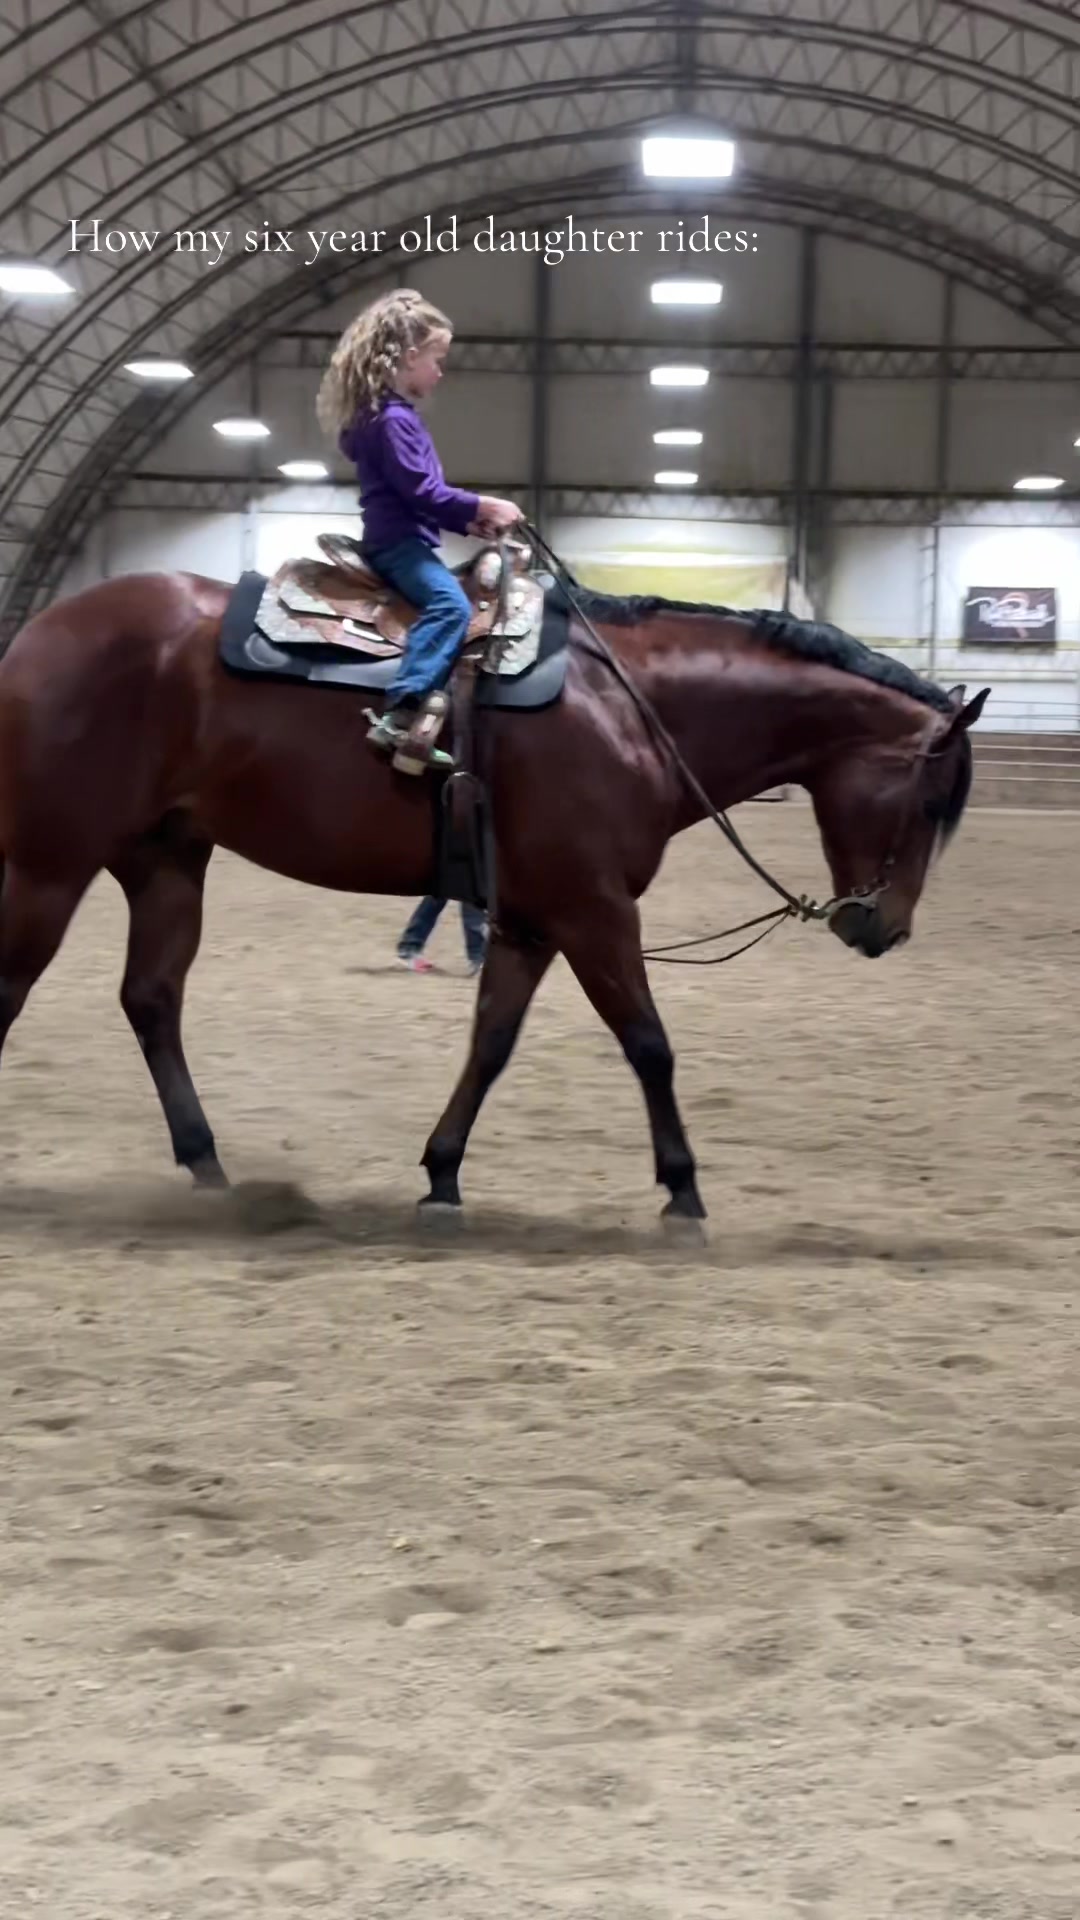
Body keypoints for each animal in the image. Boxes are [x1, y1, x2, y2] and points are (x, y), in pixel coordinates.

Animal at [0, 553, 987, 1226]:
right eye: (930, 800)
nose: (884, 928)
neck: (632, 711)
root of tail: (43, 629)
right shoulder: (594, 912)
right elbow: (649, 1044)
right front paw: (683, 1193)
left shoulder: (531, 923)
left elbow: (492, 1044)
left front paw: (442, 1175)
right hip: (49, 864)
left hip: (165, 859)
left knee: (152, 998)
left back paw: (208, 1168)